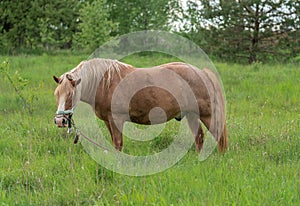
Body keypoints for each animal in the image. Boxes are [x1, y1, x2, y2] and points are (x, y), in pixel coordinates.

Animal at [53, 58, 227, 153]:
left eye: (70, 94)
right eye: (57, 94)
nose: (60, 121)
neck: (104, 83)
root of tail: (202, 73)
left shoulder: (116, 120)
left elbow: (118, 144)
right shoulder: (108, 122)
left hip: (207, 115)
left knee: (219, 137)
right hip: (192, 115)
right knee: (199, 138)